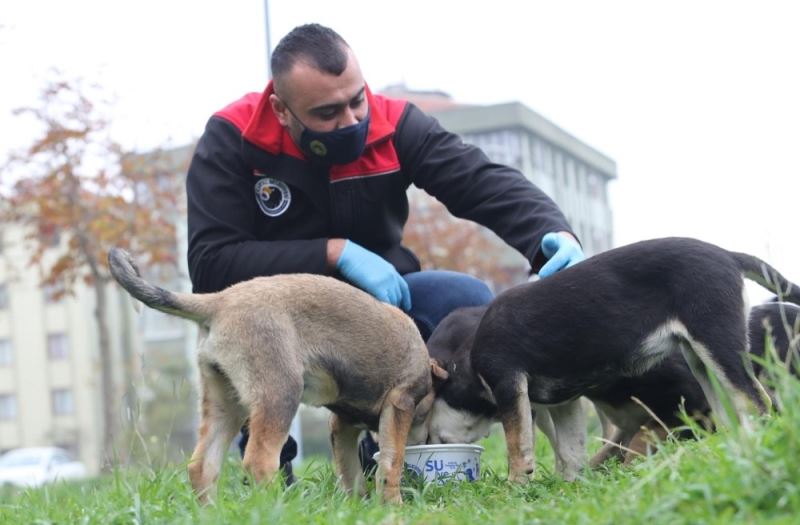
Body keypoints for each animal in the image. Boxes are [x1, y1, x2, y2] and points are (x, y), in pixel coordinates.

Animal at [106, 248, 444, 502]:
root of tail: (218, 301)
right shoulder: (398, 405)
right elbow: (390, 463)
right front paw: (393, 507)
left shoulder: (343, 424)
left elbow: (351, 472)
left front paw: (358, 507)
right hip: (279, 395)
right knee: (259, 461)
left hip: (225, 403)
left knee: (202, 466)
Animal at [428, 237, 800, 484]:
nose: (428, 443)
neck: (467, 358)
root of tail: (728, 255)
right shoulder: (563, 404)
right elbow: (571, 452)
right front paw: (567, 489)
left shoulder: (508, 383)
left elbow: (518, 445)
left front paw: (515, 487)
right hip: (701, 361)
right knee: (729, 414)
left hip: (717, 343)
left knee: (757, 402)